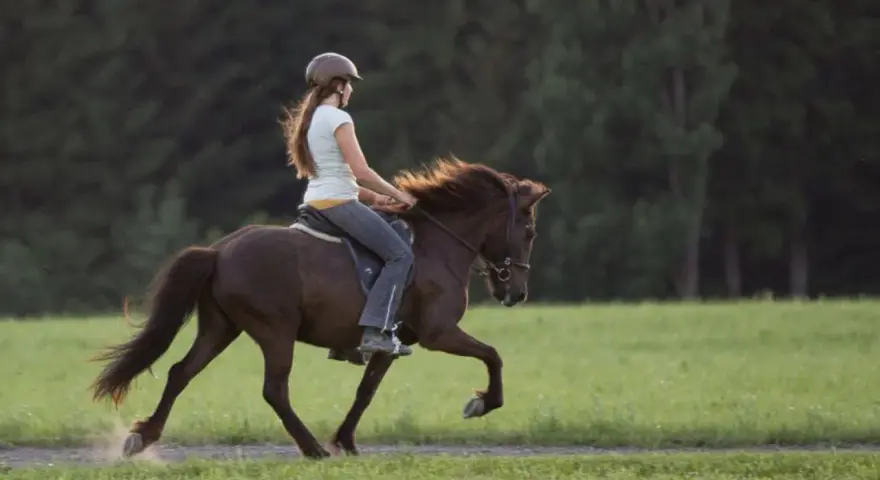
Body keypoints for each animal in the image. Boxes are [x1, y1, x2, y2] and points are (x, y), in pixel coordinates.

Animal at [89, 157, 551, 459]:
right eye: (528, 231)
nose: (516, 293)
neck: (437, 245)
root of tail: (219, 250)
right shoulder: (439, 334)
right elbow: (493, 355)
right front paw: (482, 403)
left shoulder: (390, 342)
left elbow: (366, 391)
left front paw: (345, 440)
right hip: (274, 331)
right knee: (274, 389)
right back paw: (310, 448)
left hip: (220, 329)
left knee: (180, 372)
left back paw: (143, 436)